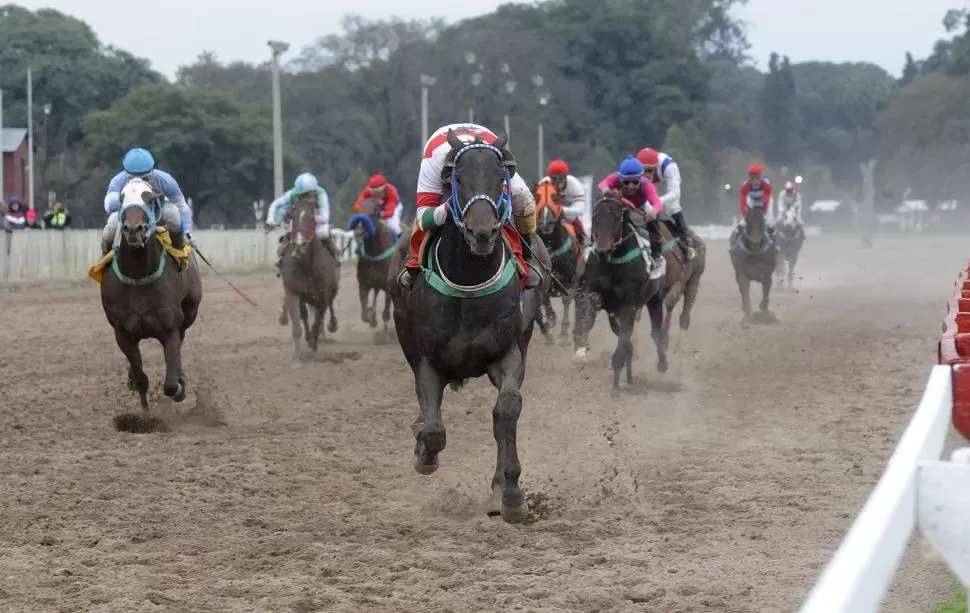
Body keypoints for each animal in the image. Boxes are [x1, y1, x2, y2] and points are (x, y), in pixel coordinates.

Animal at [97, 177, 202, 412]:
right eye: (121, 198)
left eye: (149, 197)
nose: (133, 229)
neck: (139, 275)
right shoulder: (122, 332)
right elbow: (141, 378)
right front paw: (144, 411)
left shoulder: (170, 328)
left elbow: (170, 384)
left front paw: (179, 385)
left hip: (190, 311)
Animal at [278, 191, 338, 354]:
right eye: (293, 217)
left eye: (312, 218)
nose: (299, 243)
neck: (307, 265)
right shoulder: (293, 293)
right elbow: (298, 326)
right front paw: (297, 355)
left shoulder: (322, 297)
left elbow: (317, 323)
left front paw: (313, 348)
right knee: (304, 315)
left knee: (328, 308)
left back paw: (331, 325)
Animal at [348, 198, 394, 332]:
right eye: (358, 211)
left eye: (373, 213)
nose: (358, 233)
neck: (374, 253)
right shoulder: (364, 282)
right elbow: (364, 313)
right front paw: (370, 316)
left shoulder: (388, 285)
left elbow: (387, 307)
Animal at [388, 128, 552, 520]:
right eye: (458, 179)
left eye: (499, 178)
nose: (482, 232)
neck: (468, 278)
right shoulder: (427, 360)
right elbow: (433, 428)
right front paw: (424, 454)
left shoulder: (508, 351)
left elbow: (506, 411)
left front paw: (511, 494)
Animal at [576, 194, 664, 390]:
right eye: (595, 217)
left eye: (617, 218)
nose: (602, 249)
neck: (612, 264)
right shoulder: (597, 296)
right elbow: (588, 318)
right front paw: (580, 352)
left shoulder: (628, 306)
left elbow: (624, 340)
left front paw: (616, 385)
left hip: (655, 299)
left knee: (656, 332)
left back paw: (661, 363)